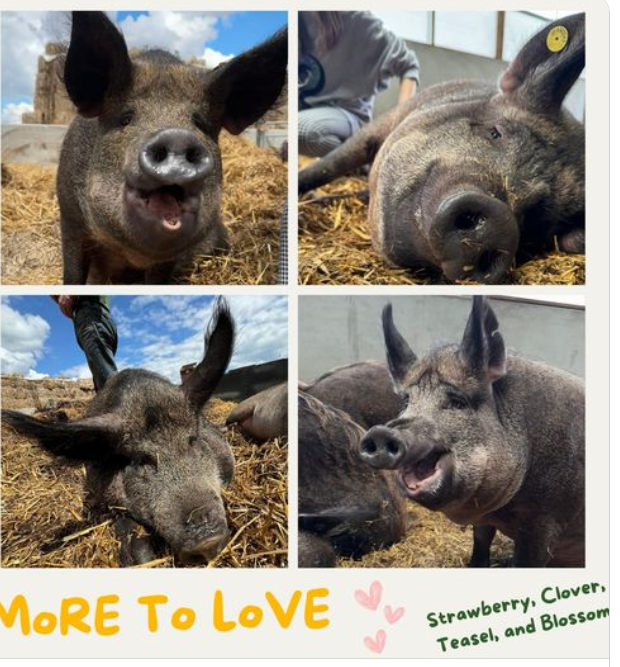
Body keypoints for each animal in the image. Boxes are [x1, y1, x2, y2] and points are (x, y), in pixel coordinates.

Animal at [56, 12, 287, 284]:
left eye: (199, 123)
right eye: (126, 118)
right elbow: (72, 273)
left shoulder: (168, 258)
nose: (177, 136)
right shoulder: (69, 215)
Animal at [359, 297, 584, 567]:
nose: (381, 433)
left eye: (457, 402)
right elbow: (481, 539)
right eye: (406, 402)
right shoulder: (487, 519)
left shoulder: (545, 518)